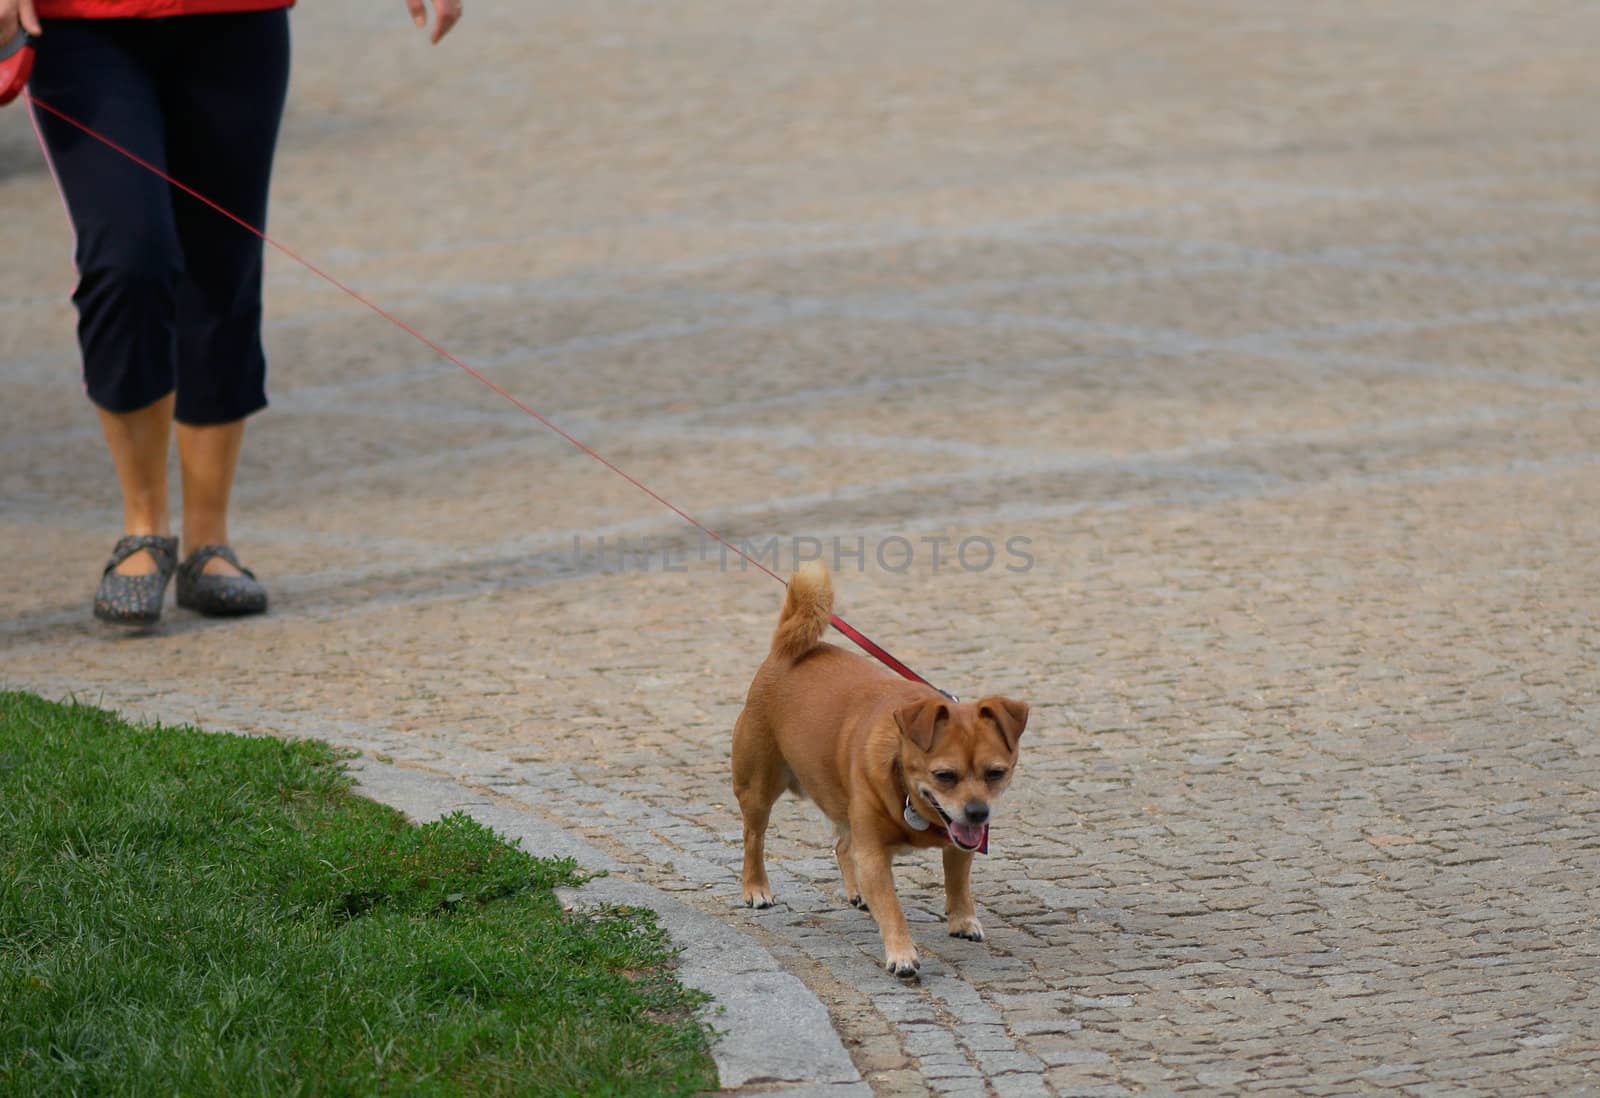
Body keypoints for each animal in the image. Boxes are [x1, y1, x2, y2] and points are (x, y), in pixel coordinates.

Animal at [732, 563, 1030, 979]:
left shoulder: (958, 845)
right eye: (944, 776)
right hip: (758, 789)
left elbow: (957, 883)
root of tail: (783, 651)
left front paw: (962, 920)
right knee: (753, 838)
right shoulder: (874, 854)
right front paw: (902, 952)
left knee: (842, 844)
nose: (977, 812)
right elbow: (892, 906)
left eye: (996, 773)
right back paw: (756, 887)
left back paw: (856, 892)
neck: (905, 788)